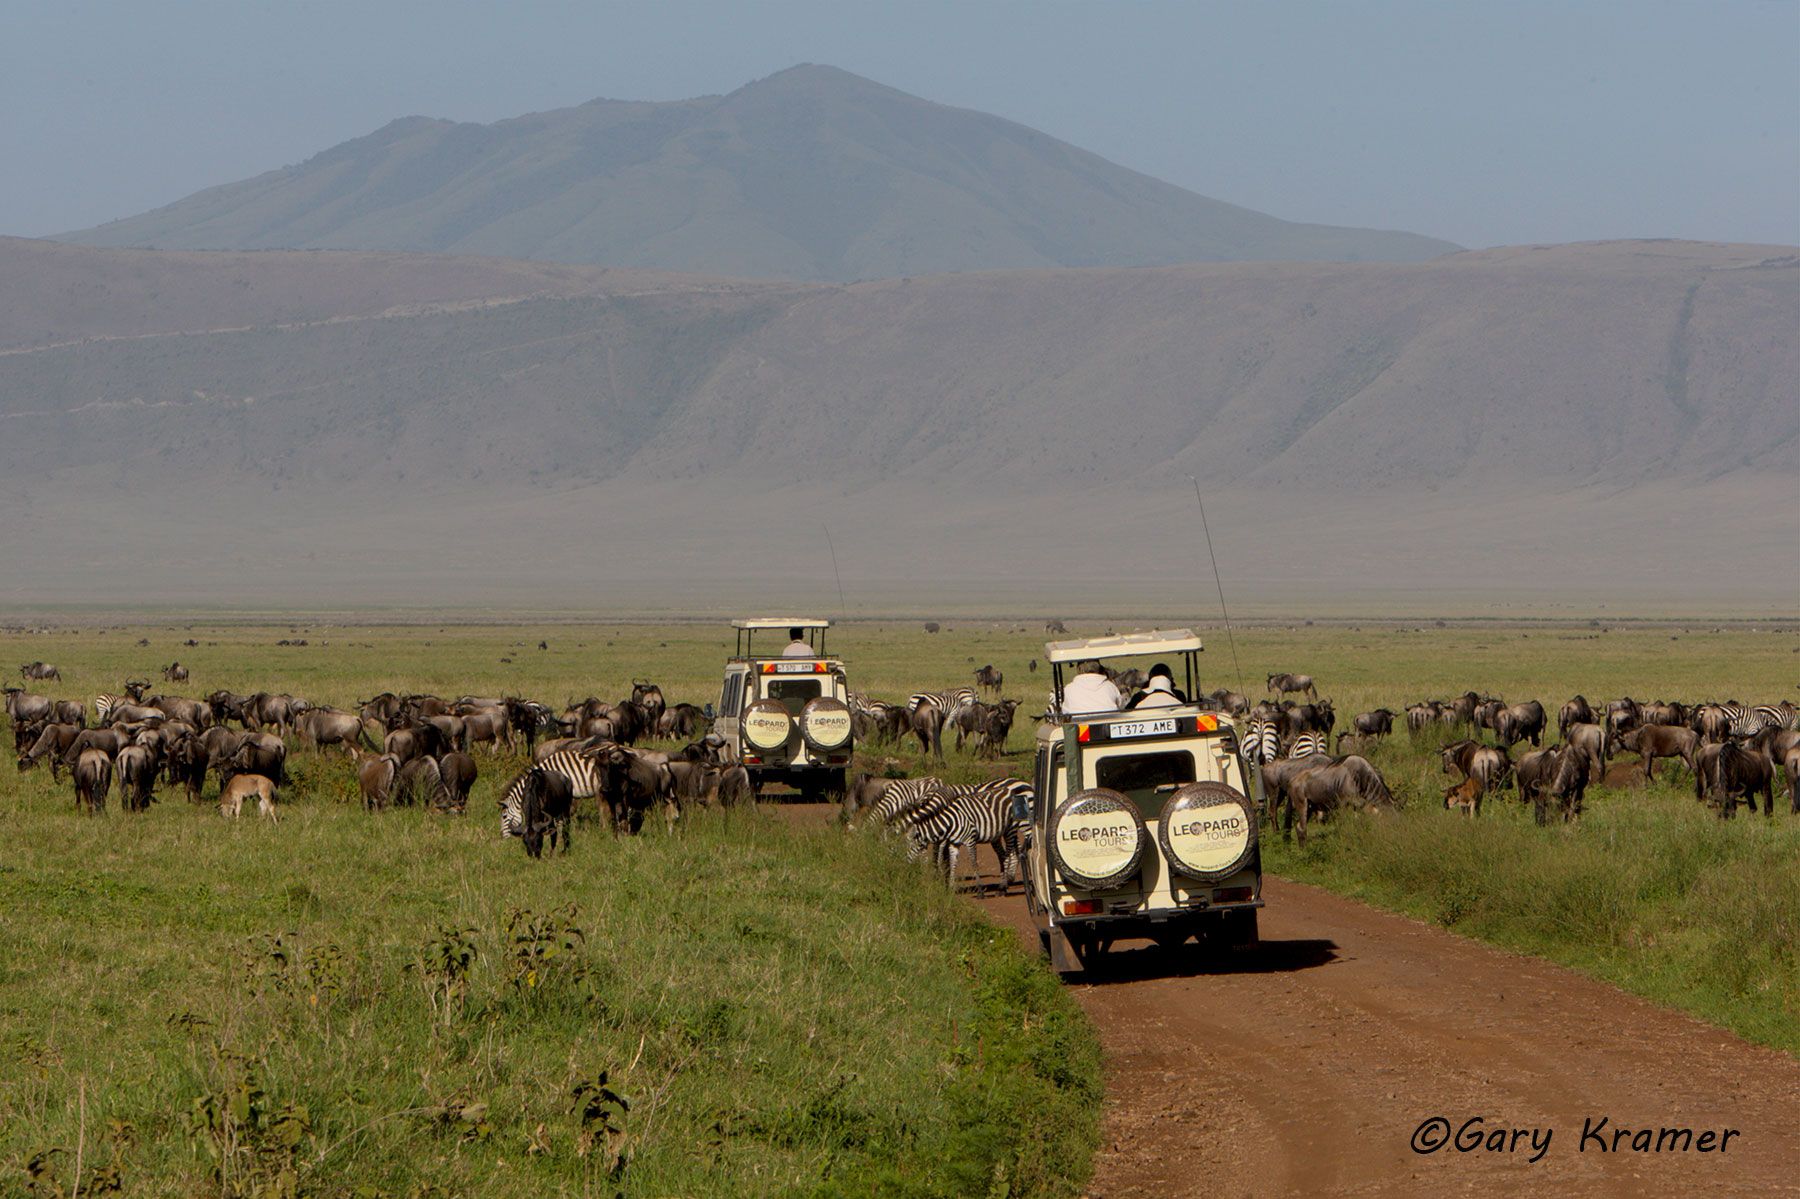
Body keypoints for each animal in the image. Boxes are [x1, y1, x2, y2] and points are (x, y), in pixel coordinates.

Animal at [896, 778, 1034, 889]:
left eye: (909, 845)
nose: (904, 870)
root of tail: (1025, 783)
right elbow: (942, 854)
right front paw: (943, 877)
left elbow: (939, 853)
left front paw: (940, 877)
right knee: (1012, 849)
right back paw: (1009, 878)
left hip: (1023, 823)